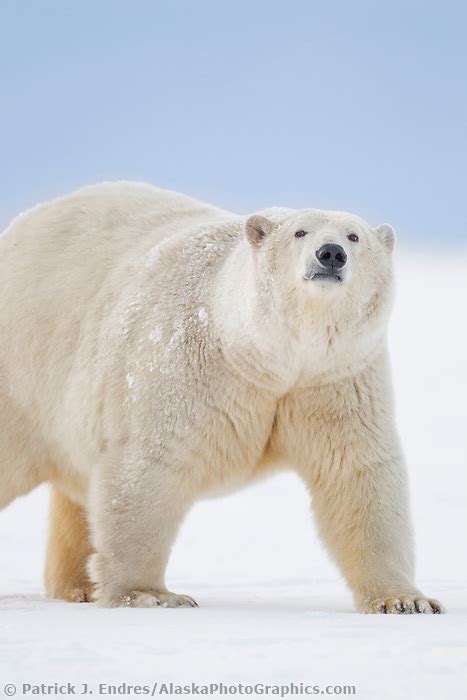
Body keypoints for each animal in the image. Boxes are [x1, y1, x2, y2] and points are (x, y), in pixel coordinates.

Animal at [0, 182, 444, 612]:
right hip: (25, 374)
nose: (331, 254)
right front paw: (150, 594)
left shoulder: (332, 380)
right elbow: (150, 465)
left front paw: (406, 600)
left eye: (354, 236)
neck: (266, 355)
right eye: (300, 232)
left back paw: (77, 587)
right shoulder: (186, 368)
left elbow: (356, 472)